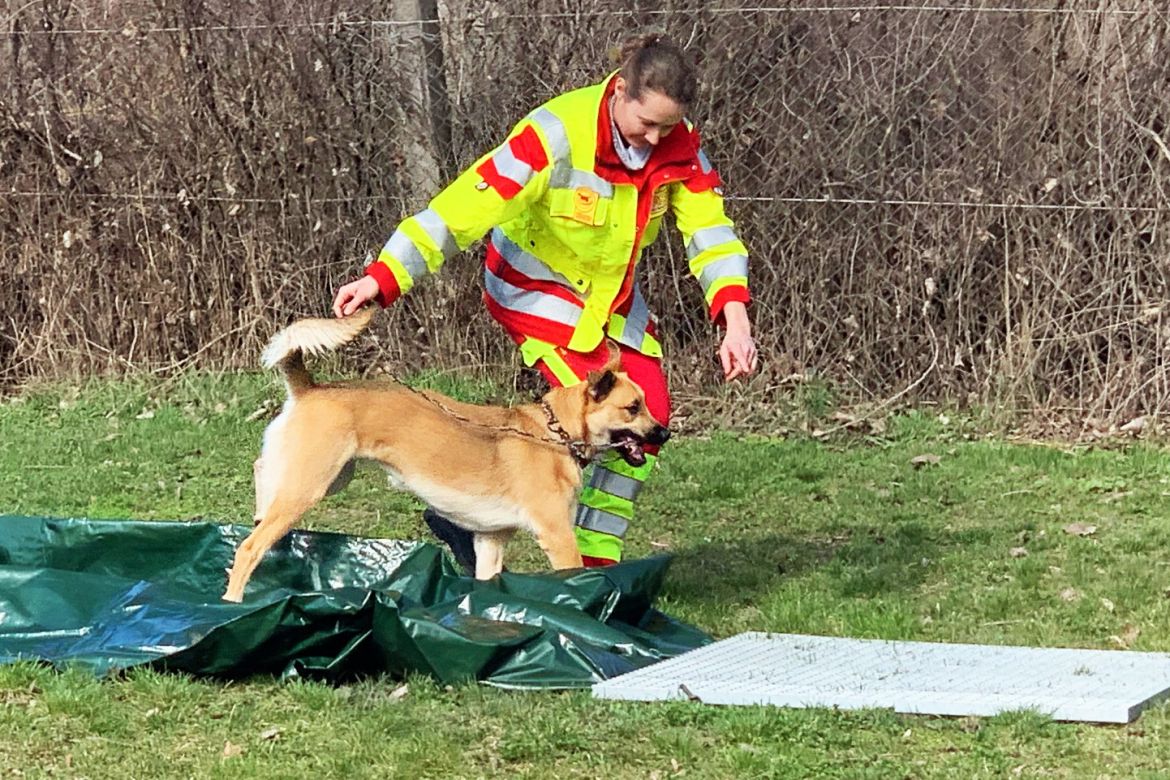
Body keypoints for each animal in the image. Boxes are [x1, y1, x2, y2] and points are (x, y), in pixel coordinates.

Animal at [221, 308, 669, 603]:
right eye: (633, 408)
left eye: (644, 404)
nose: (664, 433)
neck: (554, 431)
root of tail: (310, 387)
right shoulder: (557, 535)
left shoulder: (490, 541)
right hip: (309, 486)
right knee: (248, 548)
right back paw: (231, 602)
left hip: (327, 477)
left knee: (262, 471)